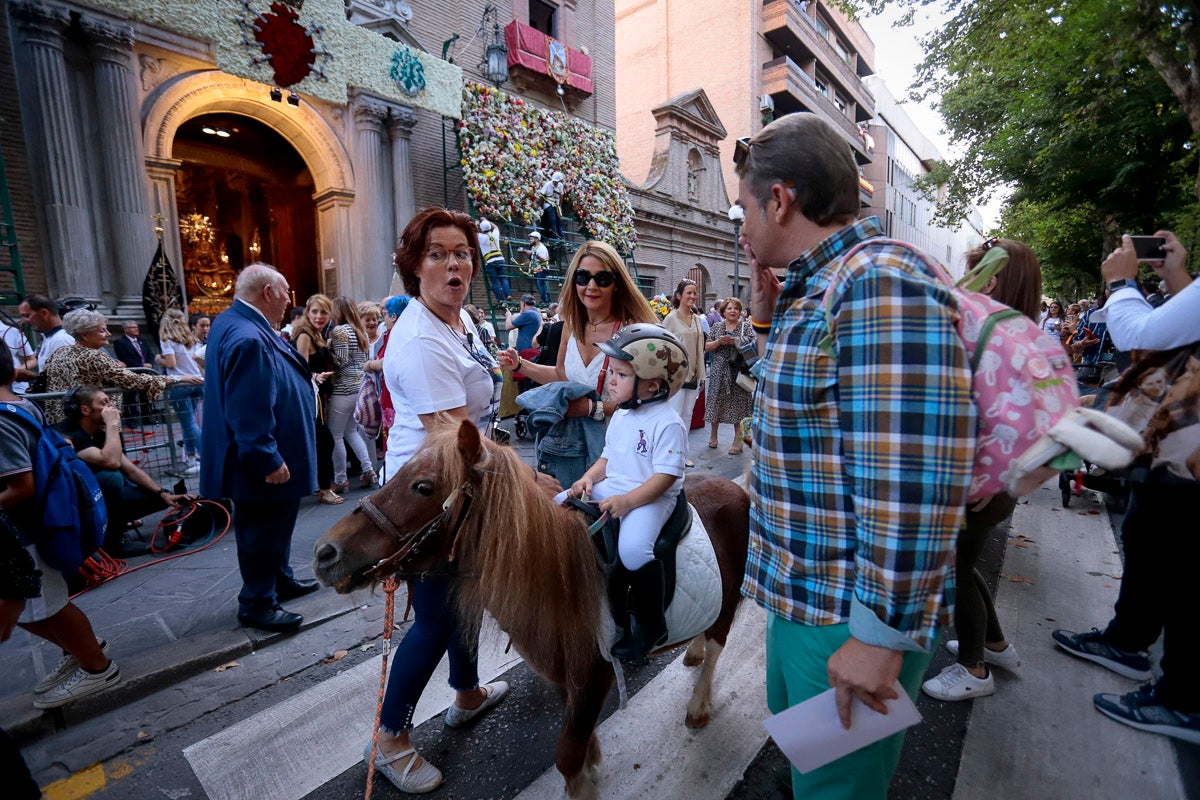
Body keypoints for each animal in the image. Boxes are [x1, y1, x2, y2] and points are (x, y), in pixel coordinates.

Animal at [316, 422, 748, 796]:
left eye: (423, 486)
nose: (325, 552)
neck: (561, 576)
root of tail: (737, 489)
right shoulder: (563, 675)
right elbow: (579, 742)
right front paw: (592, 764)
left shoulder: (594, 675)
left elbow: (568, 757)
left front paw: (583, 785)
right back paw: (691, 651)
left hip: (729, 599)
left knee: (718, 643)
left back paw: (698, 704)